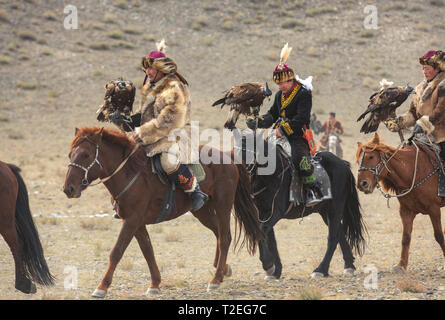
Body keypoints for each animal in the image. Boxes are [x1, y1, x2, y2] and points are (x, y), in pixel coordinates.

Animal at [62, 127, 264, 298]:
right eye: (71, 154)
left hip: (223, 206)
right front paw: (155, 284)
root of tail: (227, 156)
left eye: (86, 155)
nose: (68, 189)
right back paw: (222, 271)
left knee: (225, 238)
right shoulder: (137, 223)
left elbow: (116, 252)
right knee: (218, 233)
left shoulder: (132, 221)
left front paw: (101, 287)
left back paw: (215, 279)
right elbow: (148, 251)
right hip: (202, 211)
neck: (130, 173)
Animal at [356, 132, 445, 272]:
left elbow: (439, 236)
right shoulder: (406, 211)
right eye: (358, 160)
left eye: (371, 156)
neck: (412, 171)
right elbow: (406, 237)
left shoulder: (434, 209)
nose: (362, 184)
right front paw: (401, 265)